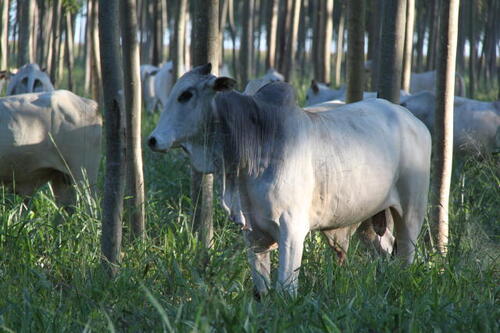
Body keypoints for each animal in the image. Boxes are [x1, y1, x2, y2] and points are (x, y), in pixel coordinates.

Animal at [147, 63, 430, 294]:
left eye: (186, 94)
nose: (152, 139)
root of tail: (415, 122)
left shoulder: (292, 231)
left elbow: (285, 289)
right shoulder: (253, 233)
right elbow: (261, 290)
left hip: (411, 213)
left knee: (406, 255)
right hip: (367, 219)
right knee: (386, 249)